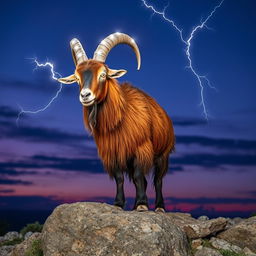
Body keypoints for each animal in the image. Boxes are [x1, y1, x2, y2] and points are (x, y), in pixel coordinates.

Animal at [58, 32, 175, 212]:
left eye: (103, 74)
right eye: (77, 78)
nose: (85, 95)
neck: (120, 119)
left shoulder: (141, 149)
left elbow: (139, 176)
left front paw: (142, 205)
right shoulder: (113, 153)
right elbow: (120, 178)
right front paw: (119, 203)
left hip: (163, 154)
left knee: (158, 180)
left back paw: (159, 207)